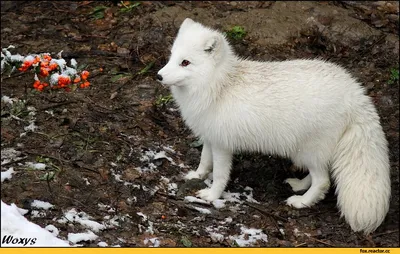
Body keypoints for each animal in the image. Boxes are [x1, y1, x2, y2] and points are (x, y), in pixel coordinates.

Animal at [156, 18, 390, 235]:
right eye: (172, 57)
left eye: (185, 63)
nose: (158, 76)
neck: (219, 86)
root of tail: (355, 92)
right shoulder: (209, 136)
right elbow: (204, 161)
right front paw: (197, 176)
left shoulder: (222, 144)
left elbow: (221, 175)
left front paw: (211, 196)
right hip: (307, 152)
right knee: (320, 175)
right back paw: (299, 185)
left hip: (309, 149)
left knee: (323, 181)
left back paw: (302, 201)